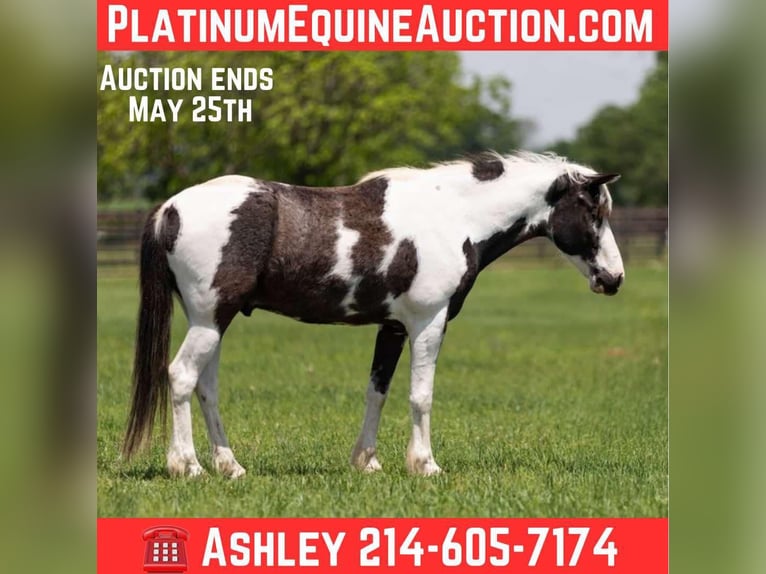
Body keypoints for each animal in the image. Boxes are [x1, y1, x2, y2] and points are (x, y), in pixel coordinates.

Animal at [122, 151, 624, 478]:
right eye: (592, 211)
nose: (615, 278)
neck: (454, 215)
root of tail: (169, 209)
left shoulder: (393, 327)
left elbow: (376, 392)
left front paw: (368, 461)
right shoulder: (428, 323)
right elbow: (421, 396)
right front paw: (425, 465)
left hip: (212, 321)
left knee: (206, 387)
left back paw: (230, 466)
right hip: (209, 320)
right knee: (181, 377)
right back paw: (187, 467)